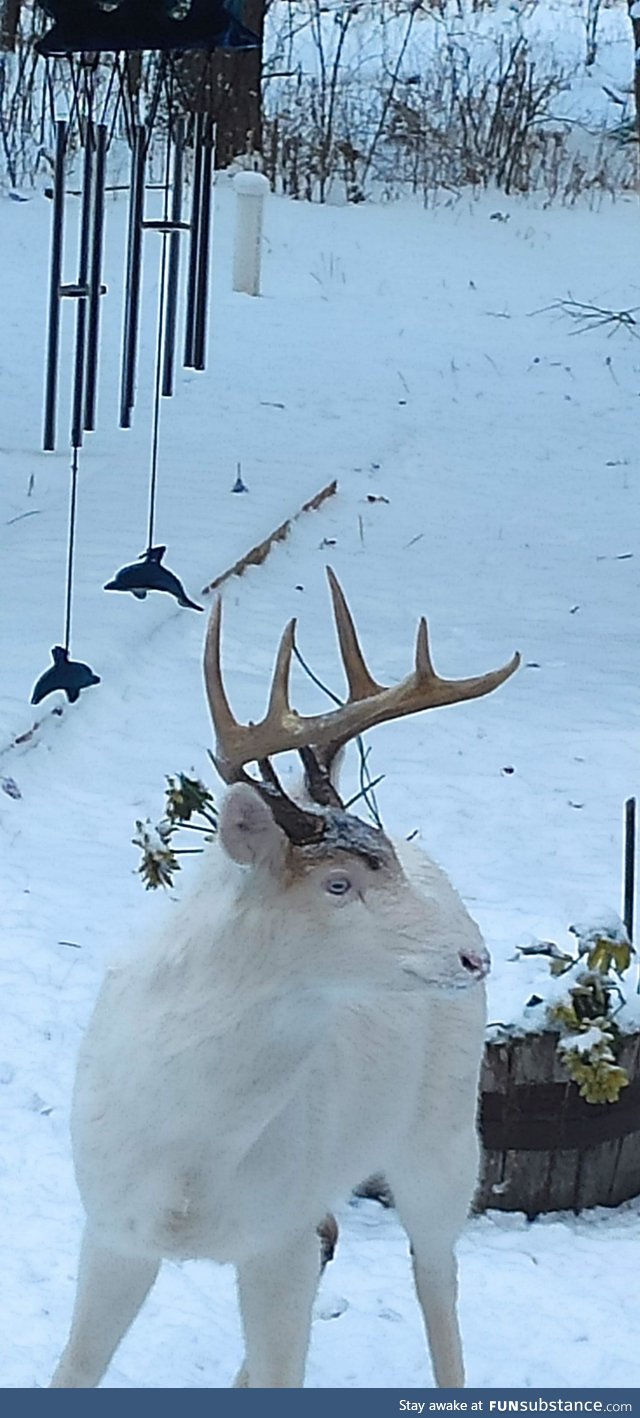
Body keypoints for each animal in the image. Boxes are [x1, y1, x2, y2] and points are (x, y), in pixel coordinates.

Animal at [51, 570, 522, 1389]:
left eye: (384, 867)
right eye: (338, 883)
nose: (475, 957)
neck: (193, 1162)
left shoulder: (277, 1241)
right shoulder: (112, 1224)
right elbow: (73, 1370)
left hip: (444, 1130)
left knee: (437, 1274)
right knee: (340, 1234)